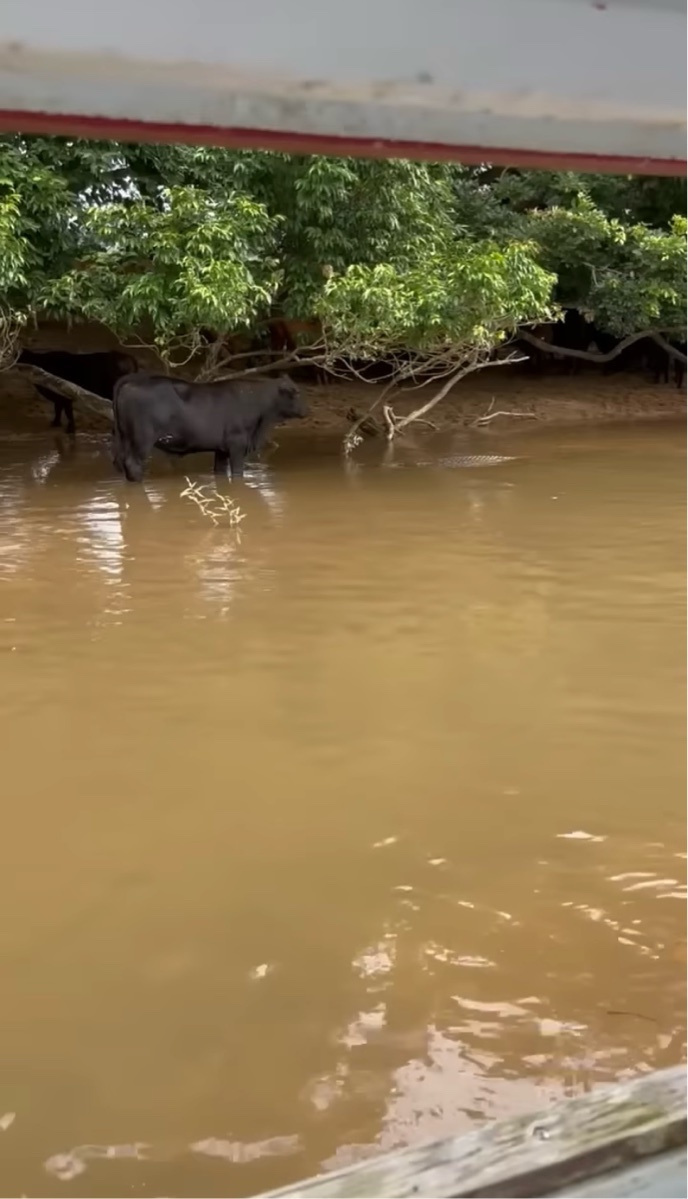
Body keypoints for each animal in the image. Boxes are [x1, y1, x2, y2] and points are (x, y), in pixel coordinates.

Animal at [113, 371, 306, 479]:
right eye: (296, 392)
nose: (307, 409)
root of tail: (132, 380)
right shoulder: (237, 444)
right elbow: (237, 473)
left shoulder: (221, 449)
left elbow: (220, 471)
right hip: (142, 439)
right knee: (133, 464)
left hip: (124, 437)